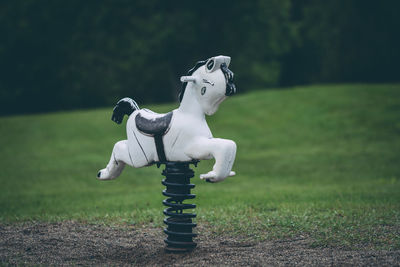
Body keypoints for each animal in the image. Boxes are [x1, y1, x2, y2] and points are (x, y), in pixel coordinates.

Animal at [98, 55, 236, 183]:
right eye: (211, 83)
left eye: (231, 78)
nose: (232, 88)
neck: (190, 115)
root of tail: (135, 111)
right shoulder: (191, 147)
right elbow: (226, 146)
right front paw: (212, 176)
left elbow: (229, 145)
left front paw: (221, 173)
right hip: (139, 156)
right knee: (118, 147)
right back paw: (104, 173)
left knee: (120, 145)